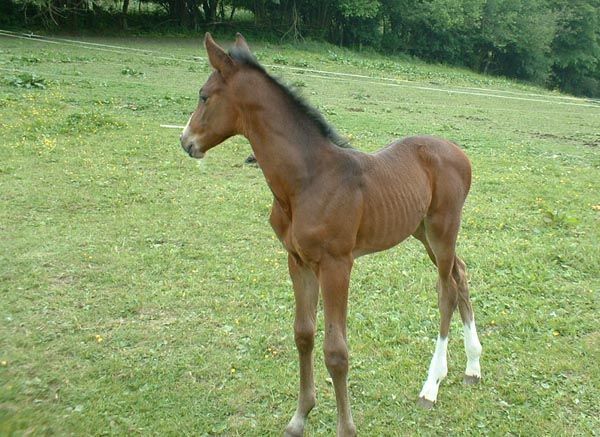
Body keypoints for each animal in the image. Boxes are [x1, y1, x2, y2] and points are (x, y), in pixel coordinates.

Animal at [179, 32, 482, 434]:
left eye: (203, 96)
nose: (186, 141)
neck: (306, 180)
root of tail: (459, 152)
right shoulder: (298, 260)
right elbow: (304, 334)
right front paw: (300, 416)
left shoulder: (337, 264)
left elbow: (336, 351)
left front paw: (345, 427)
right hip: (422, 232)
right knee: (460, 273)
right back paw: (473, 367)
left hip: (442, 229)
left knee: (446, 289)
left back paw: (432, 385)